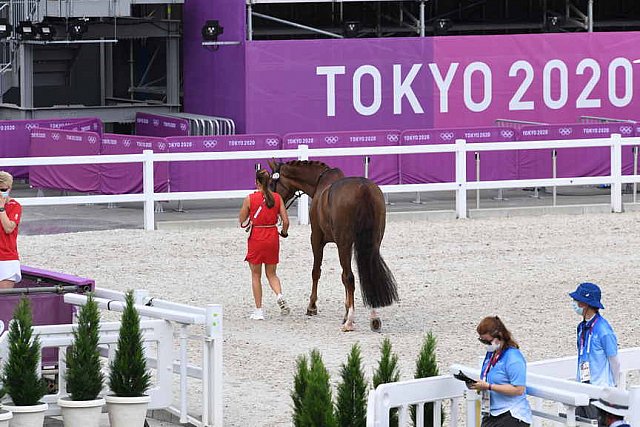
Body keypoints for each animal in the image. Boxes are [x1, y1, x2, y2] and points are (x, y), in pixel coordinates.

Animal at [268, 160, 398, 332]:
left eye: (271, 183)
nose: (269, 202)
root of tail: (363, 189)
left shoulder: (316, 239)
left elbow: (317, 272)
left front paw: (312, 306)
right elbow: (342, 277)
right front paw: (346, 309)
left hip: (343, 244)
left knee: (350, 277)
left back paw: (349, 322)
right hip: (372, 242)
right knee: (367, 272)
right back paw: (374, 316)